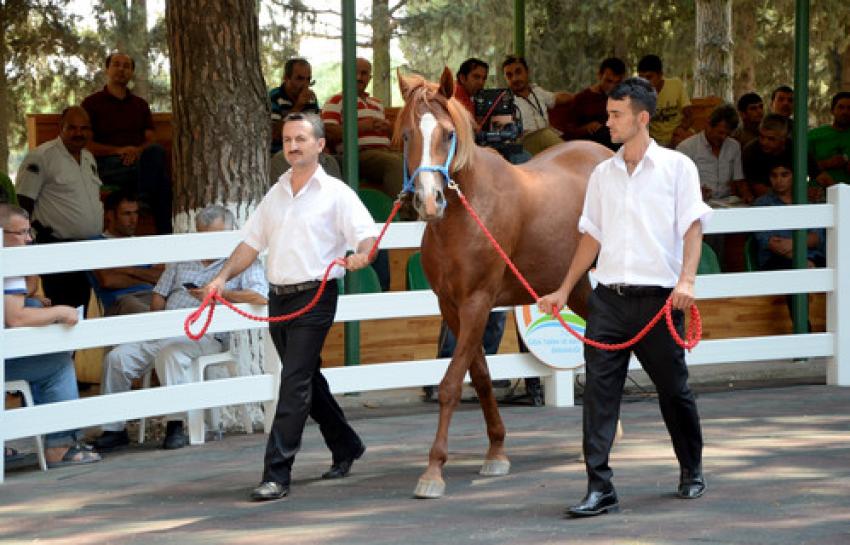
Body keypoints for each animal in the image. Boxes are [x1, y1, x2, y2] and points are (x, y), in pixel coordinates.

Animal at [398, 69, 608, 498]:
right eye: (409, 135)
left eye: (448, 133)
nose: (429, 201)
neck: (468, 213)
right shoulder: (453, 306)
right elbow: (479, 376)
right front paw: (496, 452)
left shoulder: (478, 302)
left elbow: (450, 384)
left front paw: (433, 470)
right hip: (577, 285)